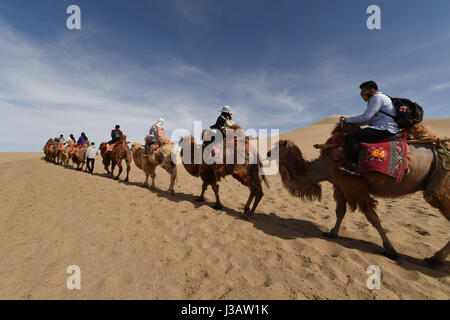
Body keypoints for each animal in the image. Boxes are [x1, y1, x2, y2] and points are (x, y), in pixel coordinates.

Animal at [268, 122, 450, 264]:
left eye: (278, 146)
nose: (268, 153)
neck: (326, 164)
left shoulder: (354, 184)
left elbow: (372, 217)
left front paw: (390, 250)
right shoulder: (340, 185)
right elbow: (340, 211)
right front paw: (332, 233)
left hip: (439, 188)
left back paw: (435, 259)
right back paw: (436, 259)